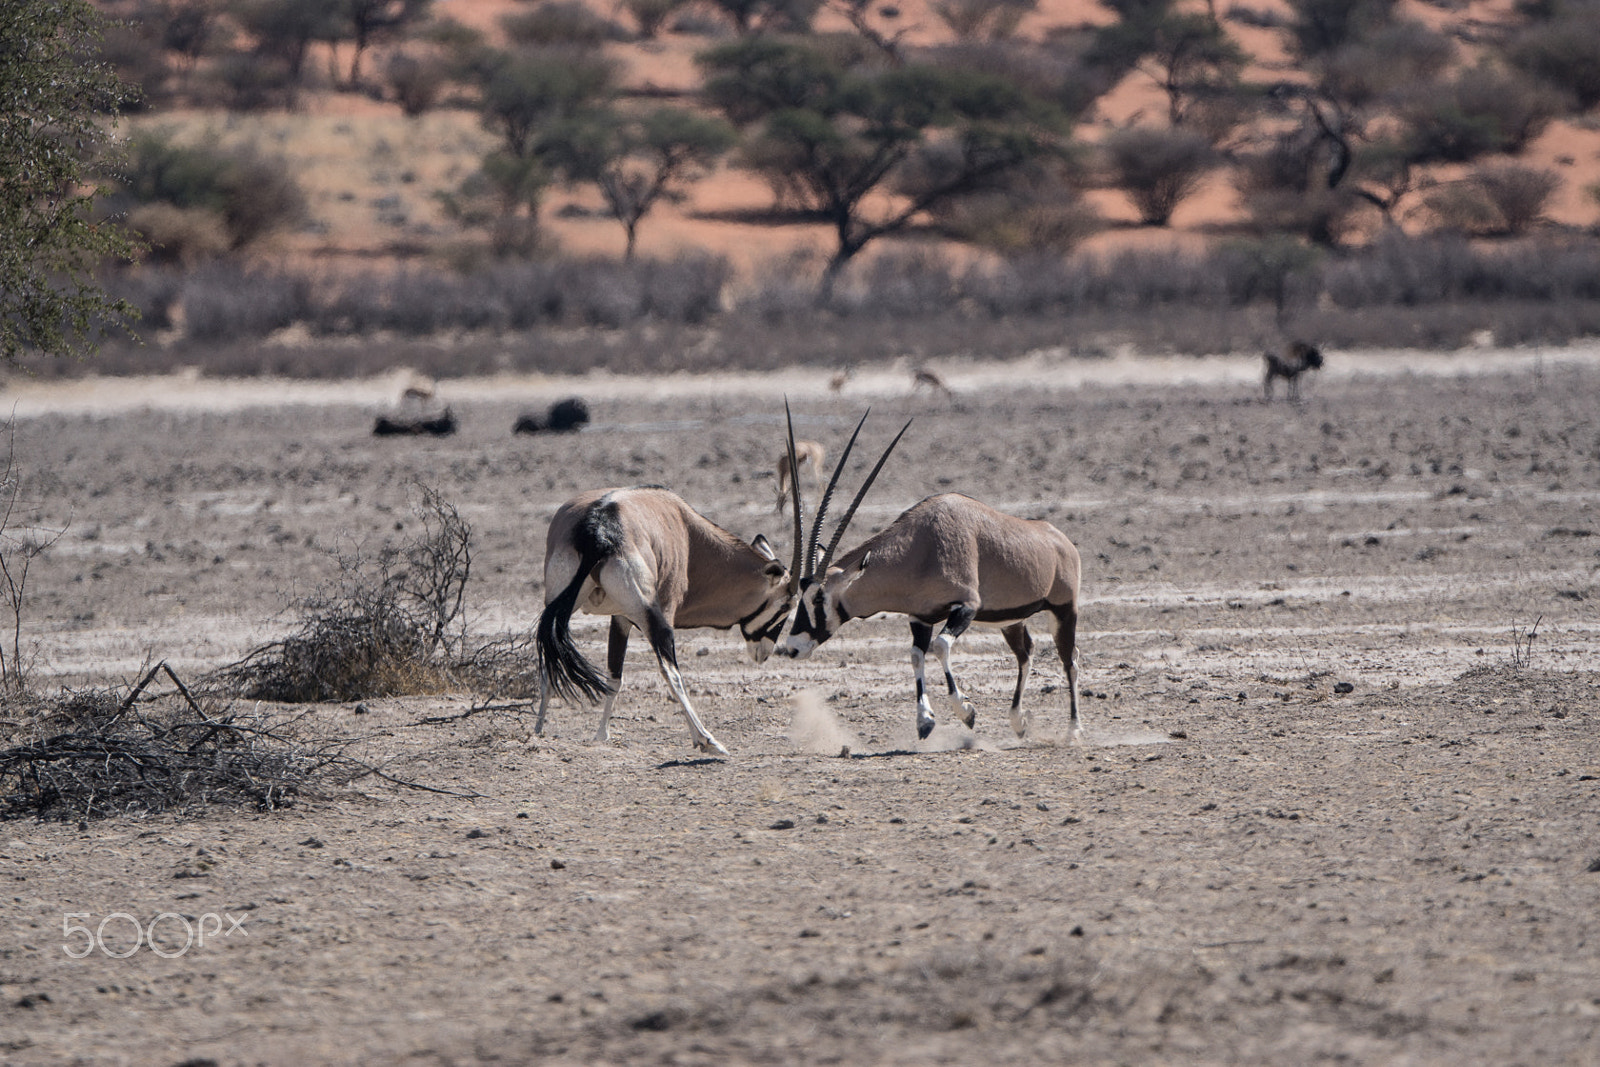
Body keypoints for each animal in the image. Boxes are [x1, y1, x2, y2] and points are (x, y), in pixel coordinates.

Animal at [537, 489, 793, 755]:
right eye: (787, 605)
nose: (764, 654)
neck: (690, 534)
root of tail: (598, 527)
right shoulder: (661, 610)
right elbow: (658, 672)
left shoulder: (620, 617)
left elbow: (614, 677)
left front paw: (602, 735)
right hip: (653, 617)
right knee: (671, 672)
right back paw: (708, 740)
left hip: (557, 603)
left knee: (548, 657)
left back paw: (537, 731)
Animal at [777, 415, 1081, 742]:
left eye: (819, 598)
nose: (792, 647)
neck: (920, 547)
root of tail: (1060, 540)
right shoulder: (920, 617)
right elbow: (916, 655)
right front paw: (925, 721)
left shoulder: (966, 606)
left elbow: (941, 646)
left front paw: (966, 711)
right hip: (1011, 620)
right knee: (1025, 654)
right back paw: (1018, 721)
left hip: (1063, 610)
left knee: (1069, 659)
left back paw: (1074, 729)